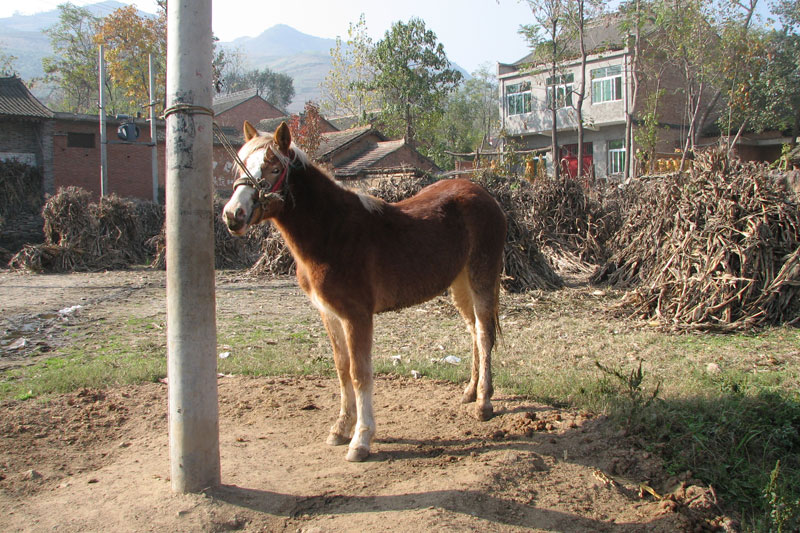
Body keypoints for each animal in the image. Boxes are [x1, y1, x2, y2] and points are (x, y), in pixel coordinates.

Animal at [220, 121, 506, 462]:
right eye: (240, 164)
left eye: (274, 168)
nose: (232, 215)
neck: (332, 233)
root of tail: (485, 196)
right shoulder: (330, 314)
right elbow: (342, 370)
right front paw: (340, 429)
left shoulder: (357, 316)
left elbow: (360, 374)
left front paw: (361, 440)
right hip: (459, 284)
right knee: (474, 331)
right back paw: (470, 392)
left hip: (481, 278)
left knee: (485, 334)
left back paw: (484, 404)